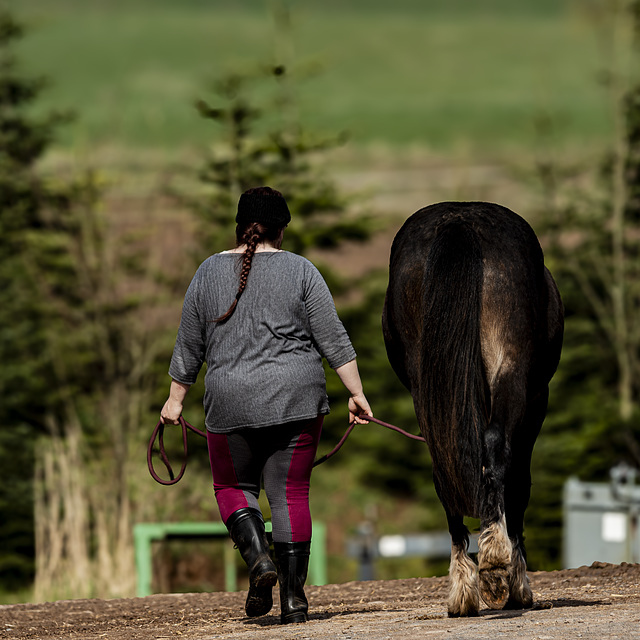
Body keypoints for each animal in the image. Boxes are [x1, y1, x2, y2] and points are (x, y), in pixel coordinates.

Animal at [382, 202, 564, 616]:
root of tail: (459, 222)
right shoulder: (538, 401)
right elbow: (518, 483)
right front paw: (518, 582)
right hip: (512, 372)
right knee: (497, 448)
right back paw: (495, 563)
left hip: (428, 389)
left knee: (444, 467)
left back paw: (464, 587)